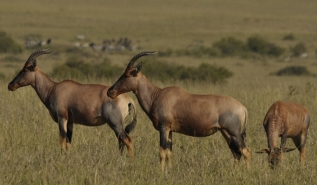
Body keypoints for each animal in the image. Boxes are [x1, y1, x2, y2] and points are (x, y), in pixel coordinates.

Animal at [7, 49, 136, 156]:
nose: (10, 85)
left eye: (24, 70)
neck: (53, 88)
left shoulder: (62, 118)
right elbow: (69, 141)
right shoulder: (70, 121)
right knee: (121, 141)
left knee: (127, 140)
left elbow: (62, 138)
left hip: (115, 123)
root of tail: (128, 99)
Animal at [107, 51, 251, 171]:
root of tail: (242, 107)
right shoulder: (170, 130)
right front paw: (170, 171)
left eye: (126, 75)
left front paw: (161, 173)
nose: (110, 92)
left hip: (233, 132)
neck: (157, 95)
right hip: (226, 133)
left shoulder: (164, 127)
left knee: (245, 151)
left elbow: (162, 151)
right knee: (236, 153)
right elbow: (169, 152)